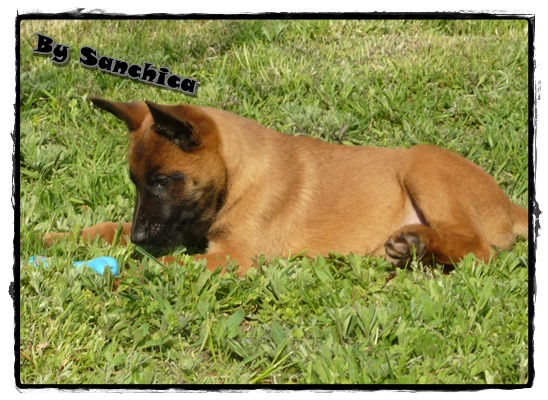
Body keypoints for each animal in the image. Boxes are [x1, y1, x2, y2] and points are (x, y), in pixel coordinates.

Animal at [46, 98, 528, 276]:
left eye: (164, 181)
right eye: (136, 183)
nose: (143, 240)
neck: (237, 182)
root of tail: (511, 207)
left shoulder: (231, 258)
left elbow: (158, 267)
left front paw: (107, 274)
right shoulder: (179, 229)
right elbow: (110, 227)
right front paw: (56, 238)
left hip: (421, 163)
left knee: (480, 248)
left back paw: (420, 244)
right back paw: (414, 247)